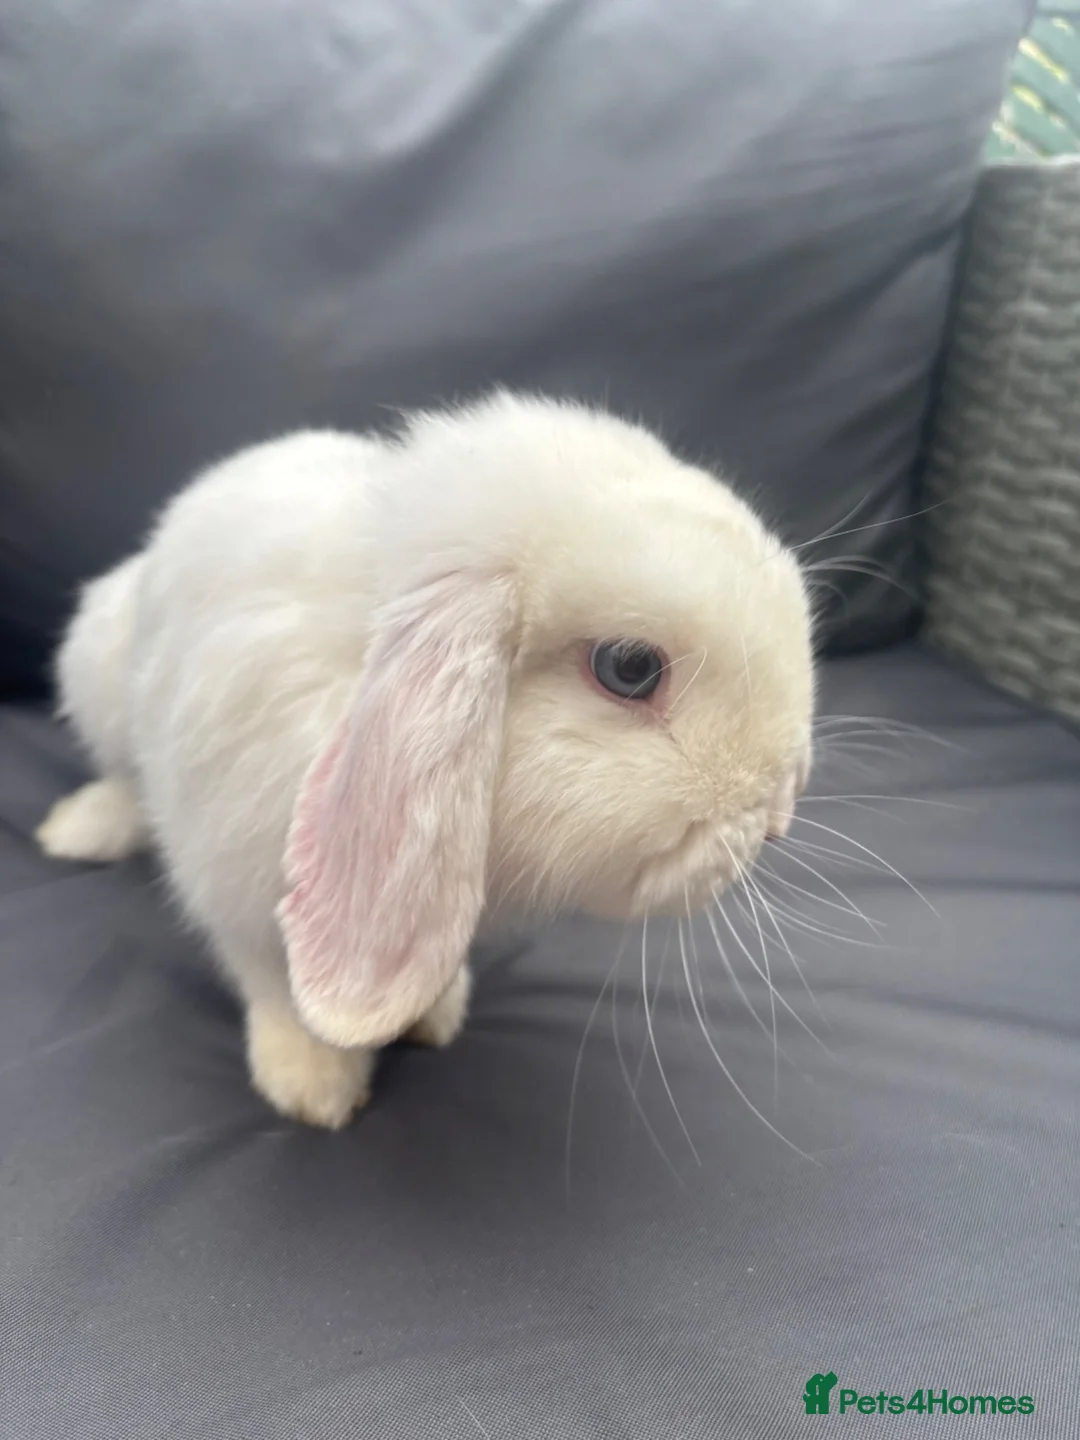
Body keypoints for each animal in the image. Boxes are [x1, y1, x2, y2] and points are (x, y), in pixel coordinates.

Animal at [37, 391, 815, 1128]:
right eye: (629, 668)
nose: (780, 812)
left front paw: (433, 1013)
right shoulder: (232, 877)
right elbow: (274, 984)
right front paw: (313, 1084)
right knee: (120, 776)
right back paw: (80, 829)